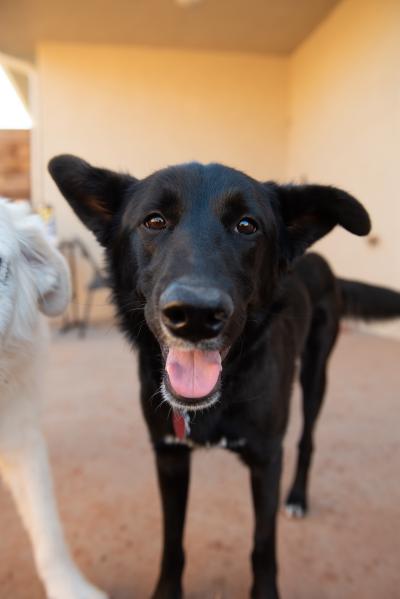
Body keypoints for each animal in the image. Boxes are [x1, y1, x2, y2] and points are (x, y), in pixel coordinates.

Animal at [48, 156, 398, 599]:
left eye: (247, 225)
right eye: (154, 221)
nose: (195, 315)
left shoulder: (267, 458)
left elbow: (263, 545)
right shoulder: (169, 456)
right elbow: (172, 540)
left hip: (316, 376)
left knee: (307, 440)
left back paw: (298, 497)